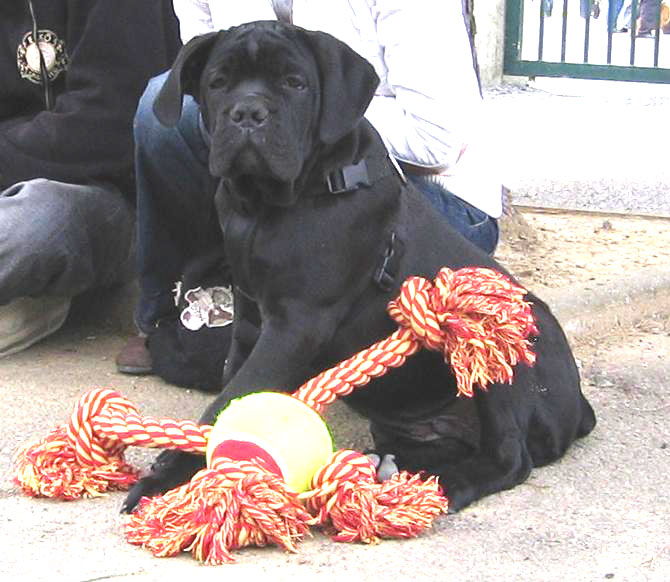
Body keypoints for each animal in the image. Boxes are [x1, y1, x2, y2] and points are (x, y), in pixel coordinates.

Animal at [122, 21, 596, 514]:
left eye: (295, 83)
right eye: (217, 83)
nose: (248, 112)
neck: (267, 206)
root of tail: (579, 407)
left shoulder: (295, 326)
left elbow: (228, 403)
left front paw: (169, 479)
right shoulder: (251, 321)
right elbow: (233, 387)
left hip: (500, 343)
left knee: (510, 457)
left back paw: (446, 485)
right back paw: (388, 467)